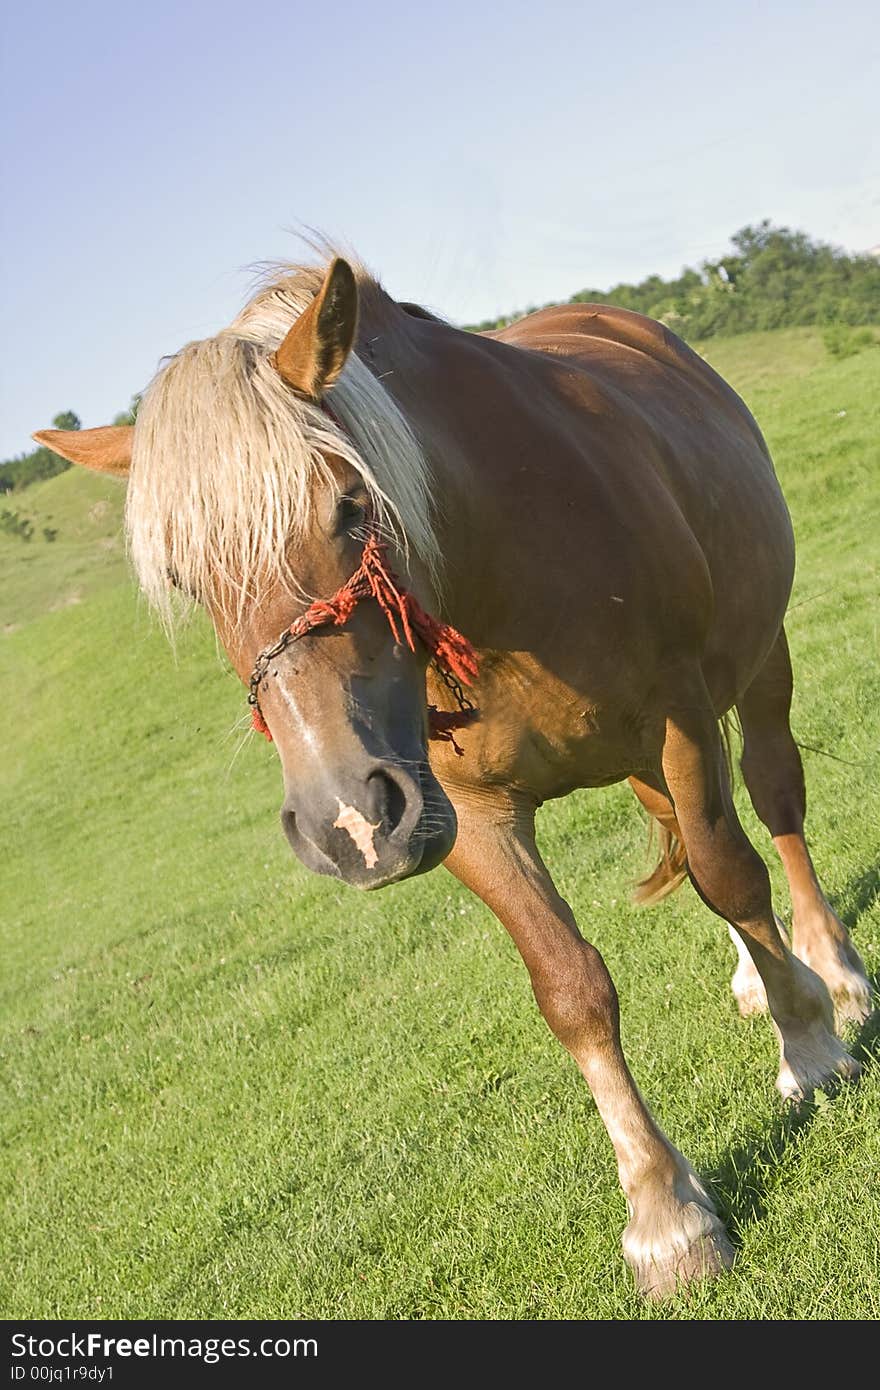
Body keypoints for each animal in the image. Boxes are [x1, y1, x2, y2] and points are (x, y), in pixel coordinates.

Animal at [35, 252, 873, 1301]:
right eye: (189, 577)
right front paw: (665, 1215)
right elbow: (572, 989)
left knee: (772, 805)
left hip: (757, 671)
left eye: (351, 506)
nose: (344, 822)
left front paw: (811, 1045)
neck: (493, 564)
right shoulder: (460, 811)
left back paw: (830, 970)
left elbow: (733, 875)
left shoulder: (679, 718)